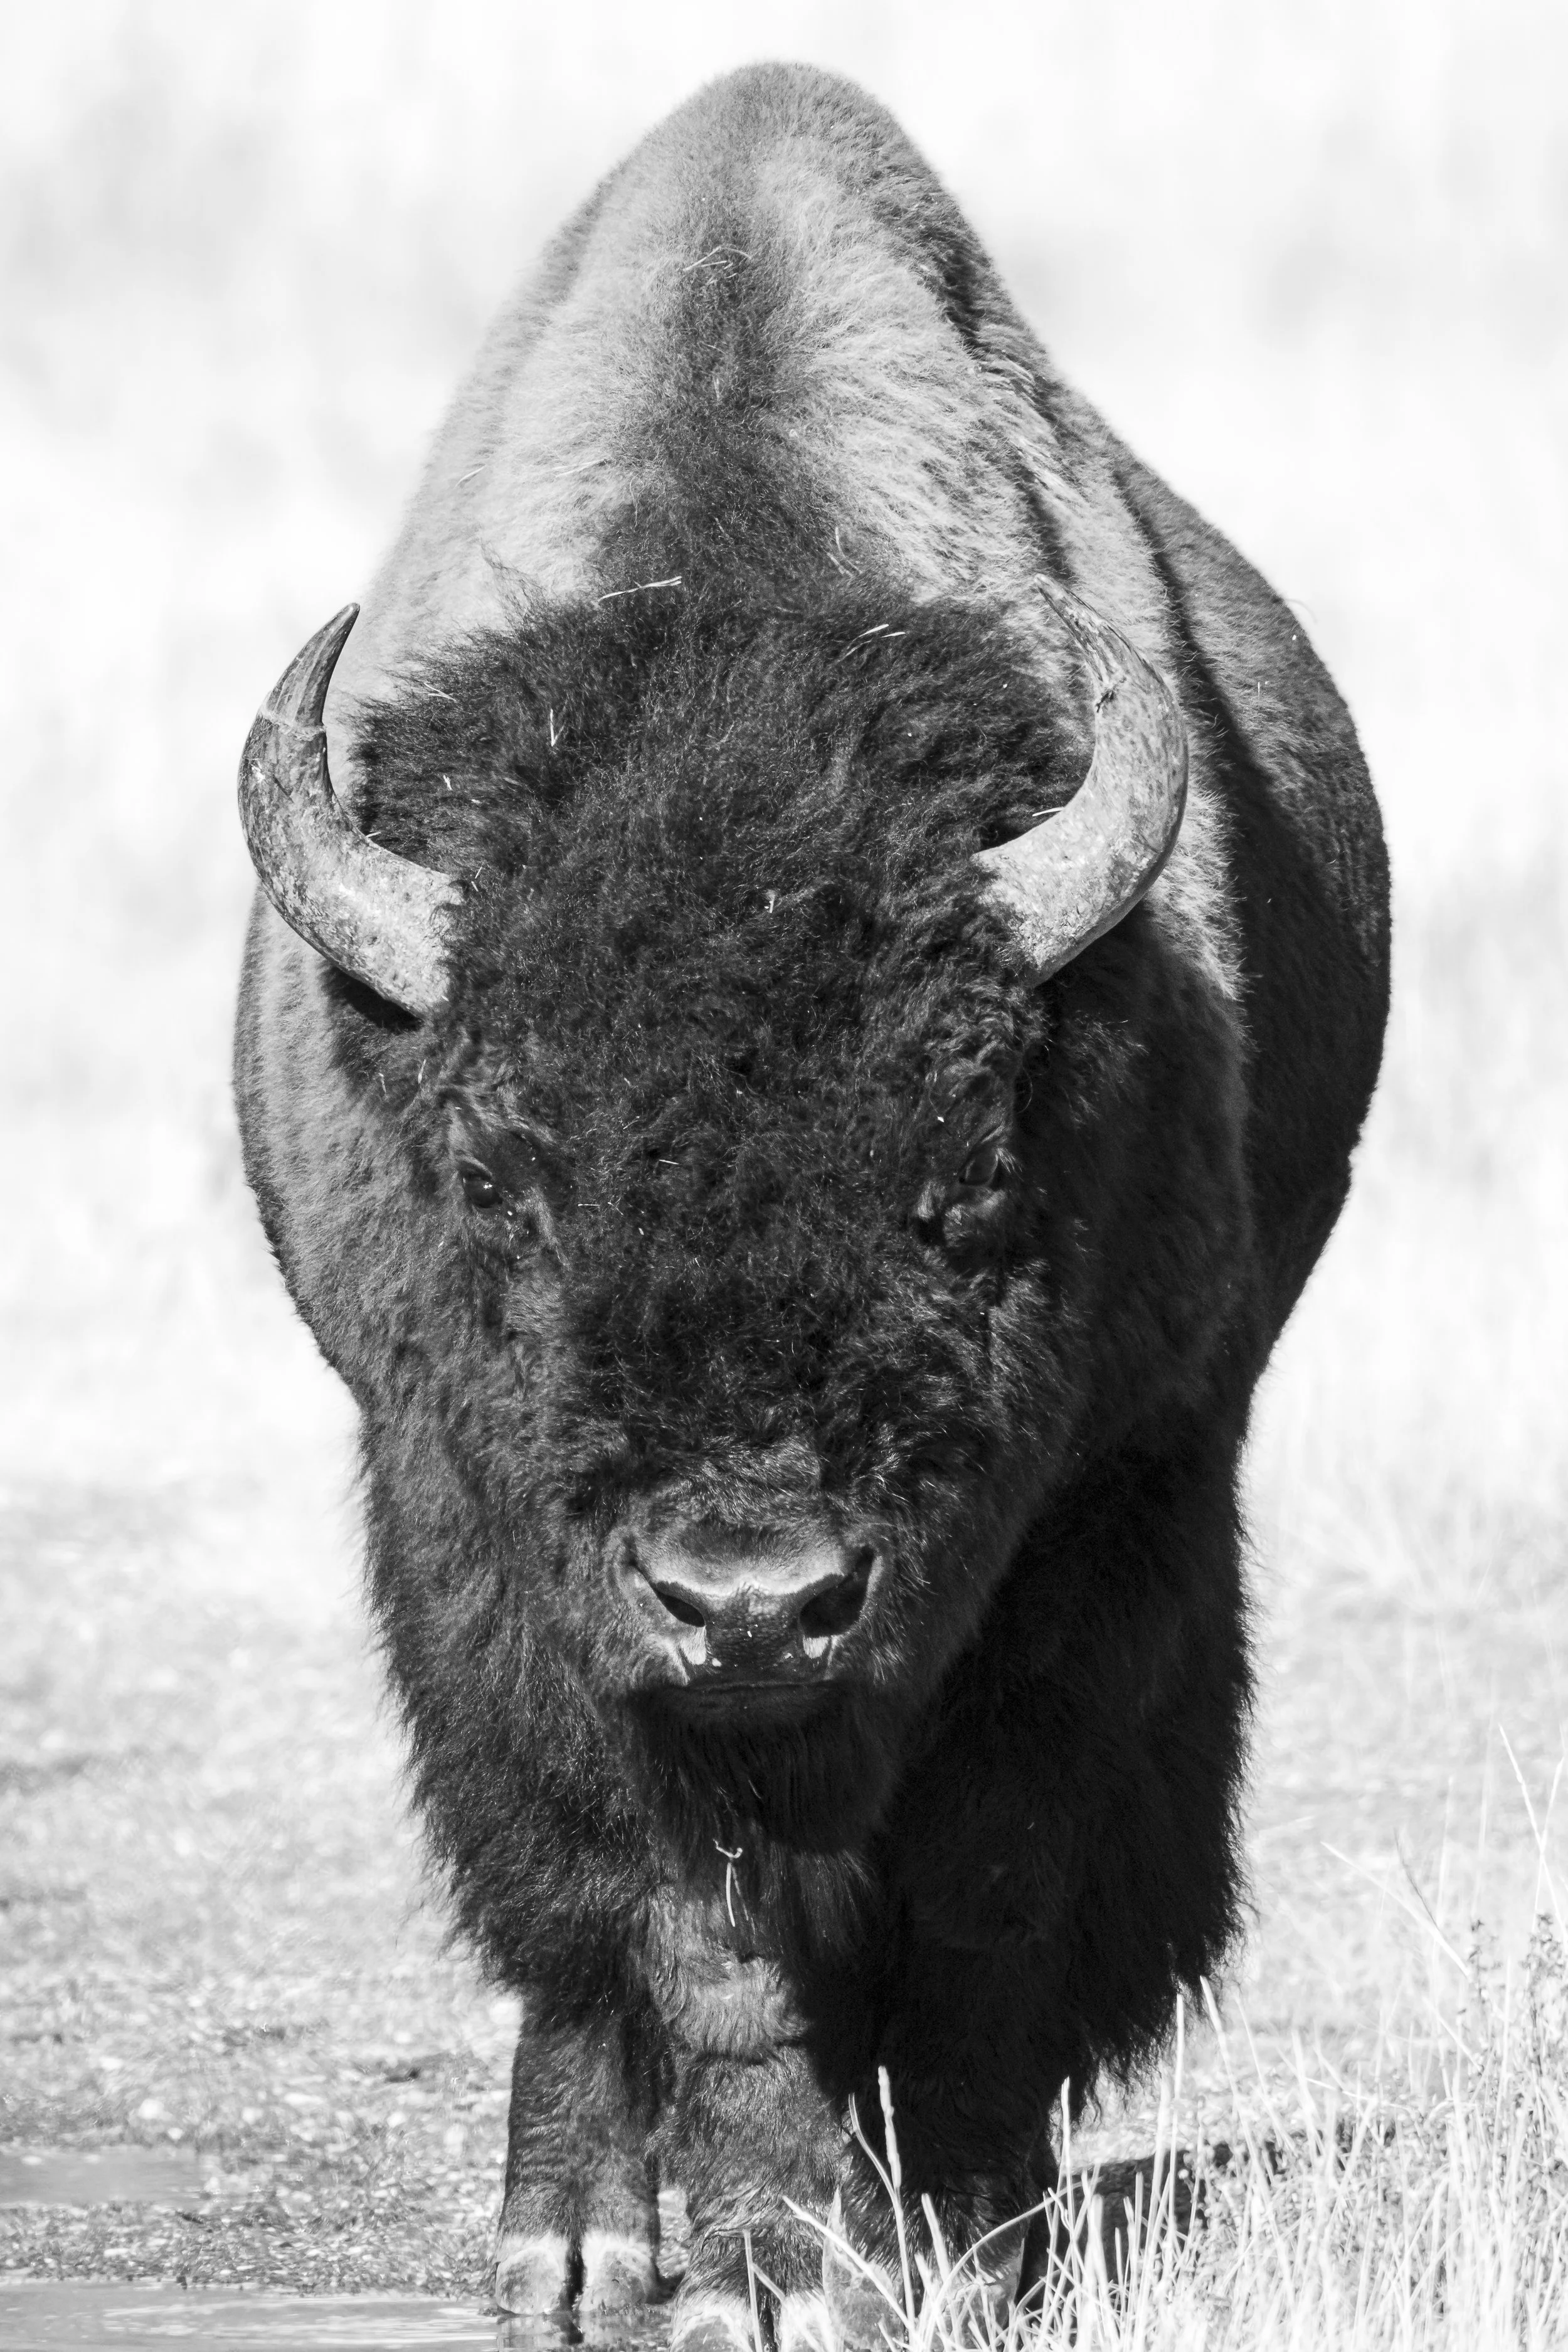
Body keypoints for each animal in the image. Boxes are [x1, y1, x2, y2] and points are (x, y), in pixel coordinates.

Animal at [234, 62, 1389, 2351]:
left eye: (970, 1181)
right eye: (498, 1177)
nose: (755, 1597)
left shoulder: (1115, 1502)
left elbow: (993, 1878)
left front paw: (950, 2236)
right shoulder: (512, 1567)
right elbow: (679, 1916)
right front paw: (763, 2266)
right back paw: (570, 2241)